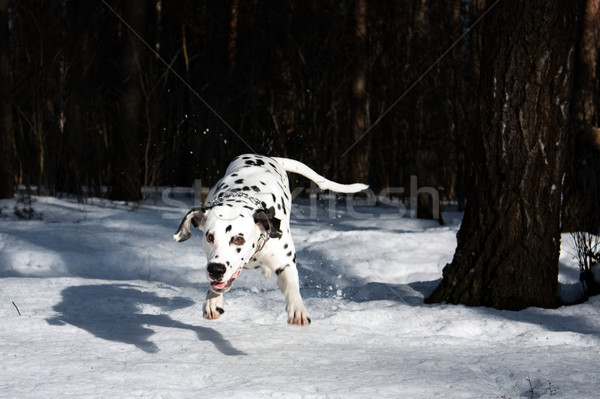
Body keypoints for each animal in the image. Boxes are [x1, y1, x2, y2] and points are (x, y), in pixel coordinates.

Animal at [173, 155, 368, 326]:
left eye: (239, 239)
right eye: (210, 237)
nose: (216, 270)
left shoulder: (285, 263)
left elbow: (291, 286)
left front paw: (297, 309)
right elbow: (215, 288)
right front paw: (212, 300)